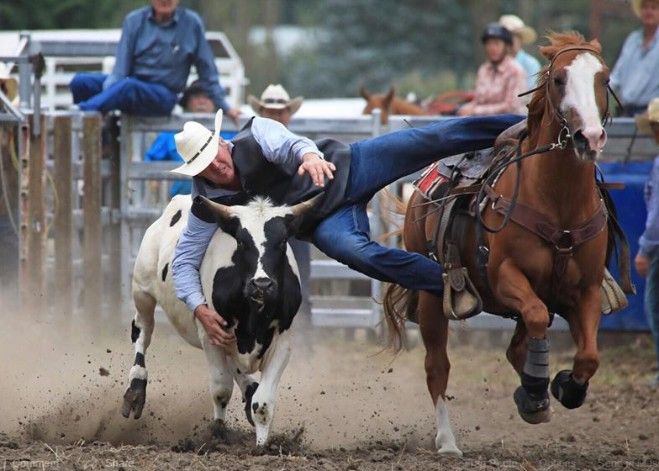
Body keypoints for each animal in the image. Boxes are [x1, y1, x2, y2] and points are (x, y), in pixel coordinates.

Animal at [382, 30, 624, 458]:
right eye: (558, 79)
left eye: (604, 77)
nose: (590, 137)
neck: (558, 203)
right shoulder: (505, 277)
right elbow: (536, 318)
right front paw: (536, 393)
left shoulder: (587, 290)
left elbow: (589, 357)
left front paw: (562, 387)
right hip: (430, 298)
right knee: (437, 368)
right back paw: (447, 441)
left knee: (520, 345)